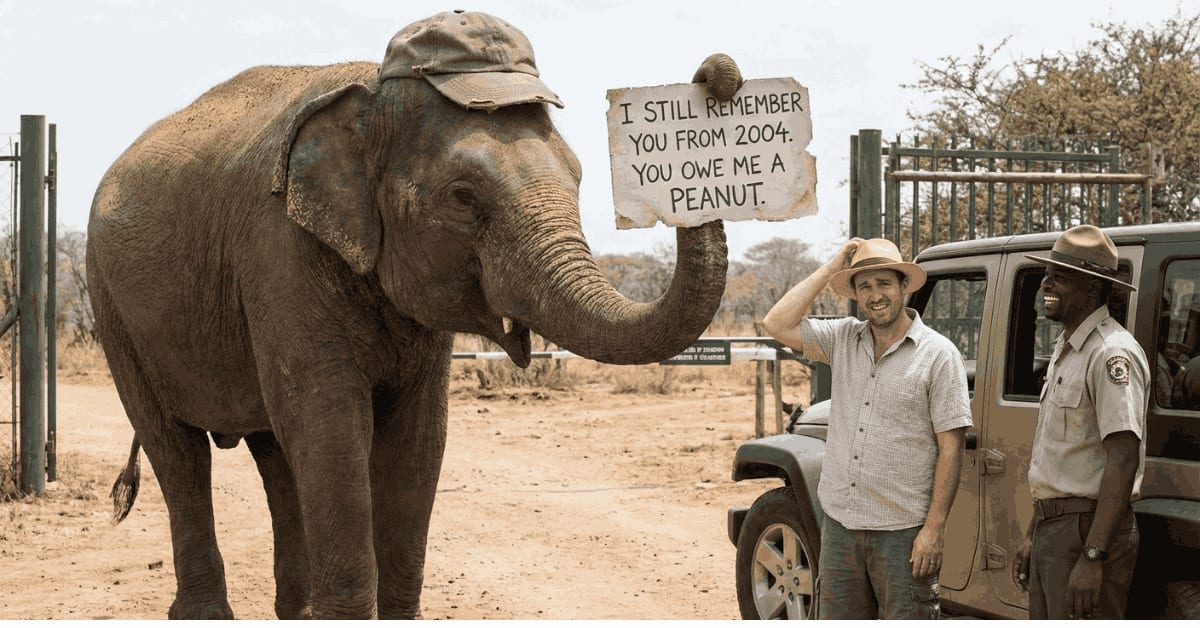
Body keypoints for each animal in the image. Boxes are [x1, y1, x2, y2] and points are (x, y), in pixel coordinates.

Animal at [87, 10, 740, 620]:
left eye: (579, 178)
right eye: (463, 197)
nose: (715, 77)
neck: (373, 97)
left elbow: (419, 443)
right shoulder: (278, 252)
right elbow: (331, 432)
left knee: (274, 455)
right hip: (112, 307)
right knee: (178, 452)